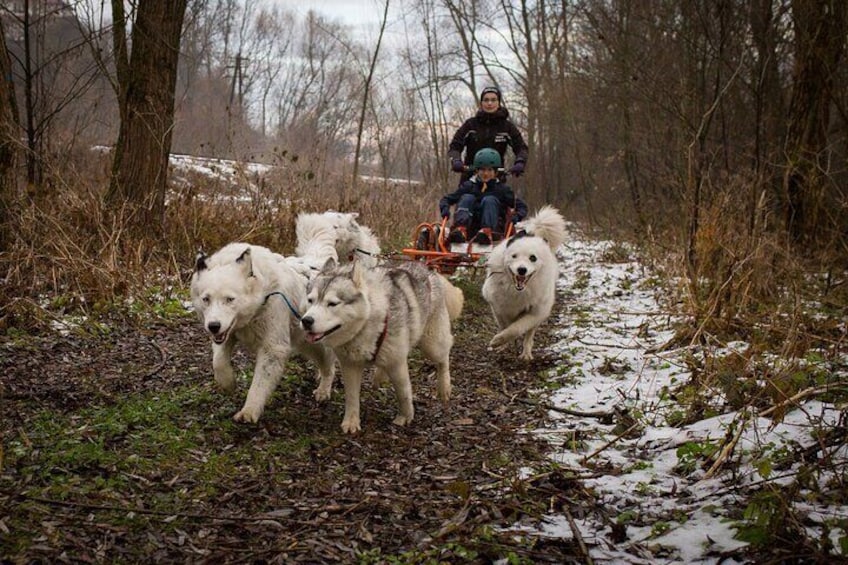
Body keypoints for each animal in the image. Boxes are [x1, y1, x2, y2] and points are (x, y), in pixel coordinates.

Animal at [190, 242, 336, 424]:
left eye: (230, 299)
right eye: (206, 299)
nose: (213, 326)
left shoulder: (273, 348)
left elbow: (259, 384)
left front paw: (249, 410)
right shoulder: (226, 335)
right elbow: (218, 362)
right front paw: (228, 382)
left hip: (318, 346)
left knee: (330, 366)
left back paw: (323, 390)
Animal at [298, 260, 464, 432]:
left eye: (332, 303)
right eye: (310, 300)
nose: (306, 321)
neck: (367, 322)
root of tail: (429, 270)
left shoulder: (397, 364)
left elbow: (403, 393)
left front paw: (405, 416)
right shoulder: (350, 366)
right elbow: (351, 396)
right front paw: (351, 421)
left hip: (432, 345)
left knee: (443, 359)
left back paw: (444, 387)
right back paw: (380, 376)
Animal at [480, 205, 568, 360]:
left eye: (532, 258)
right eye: (514, 256)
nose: (522, 270)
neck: (516, 290)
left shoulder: (536, 312)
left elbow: (516, 328)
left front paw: (499, 340)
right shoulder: (497, 307)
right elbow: (504, 325)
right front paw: (501, 344)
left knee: (529, 335)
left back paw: (526, 353)